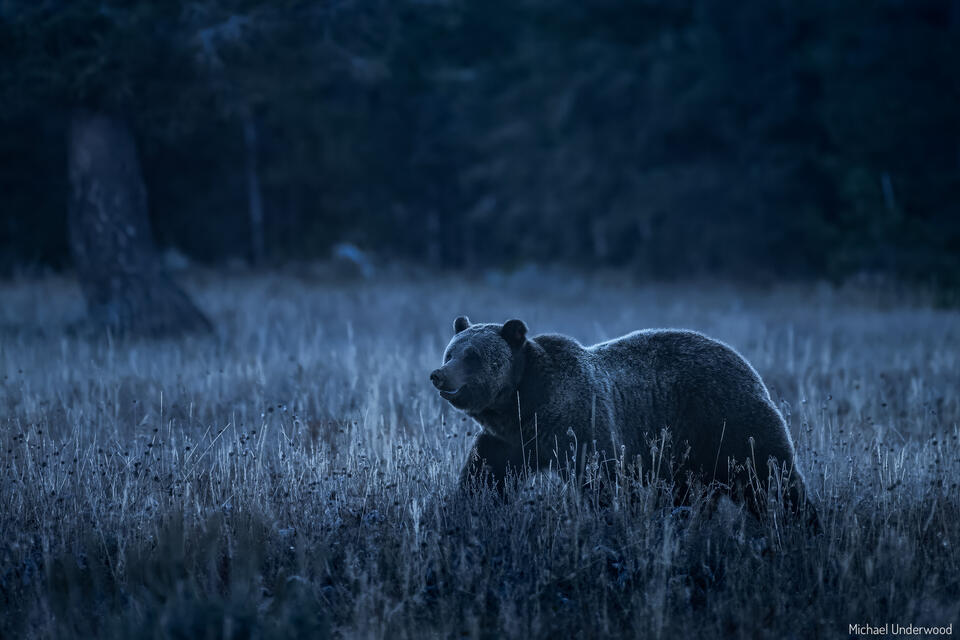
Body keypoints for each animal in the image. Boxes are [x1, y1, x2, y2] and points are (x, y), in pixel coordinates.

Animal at [430, 316, 819, 527]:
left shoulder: (579, 423)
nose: (439, 374)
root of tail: (745, 362)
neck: (523, 406)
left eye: (472, 356)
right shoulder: (506, 443)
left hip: (726, 420)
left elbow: (603, 479)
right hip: (687, 455)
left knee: (771, 475)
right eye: (450, 351)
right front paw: (463, 512)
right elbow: (482, 479)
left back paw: (803, 522)